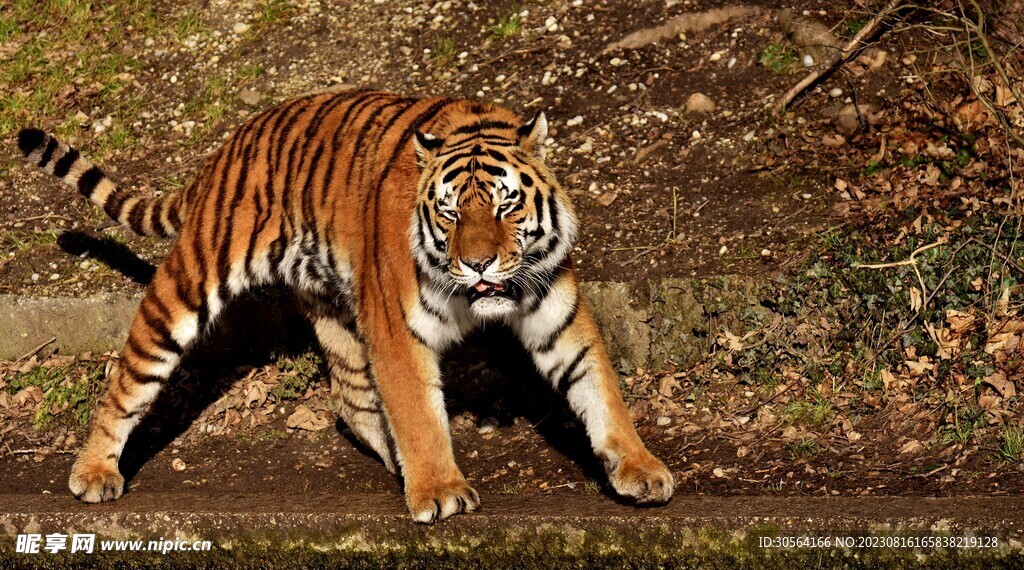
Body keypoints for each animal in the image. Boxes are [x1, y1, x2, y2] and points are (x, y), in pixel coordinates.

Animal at [16, 89, 674, 523]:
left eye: (506, 205)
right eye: (451, 212)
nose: (479, 264)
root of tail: (229, 147)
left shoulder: (558, 313)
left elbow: (600, 389)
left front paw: (641, 470)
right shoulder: (398, 329)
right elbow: (417, 409)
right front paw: (440, 491)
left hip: (335, 307)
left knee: (351, 401)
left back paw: (396, 462)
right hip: (189, 285)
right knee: (129, 375)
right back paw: (93, 473)